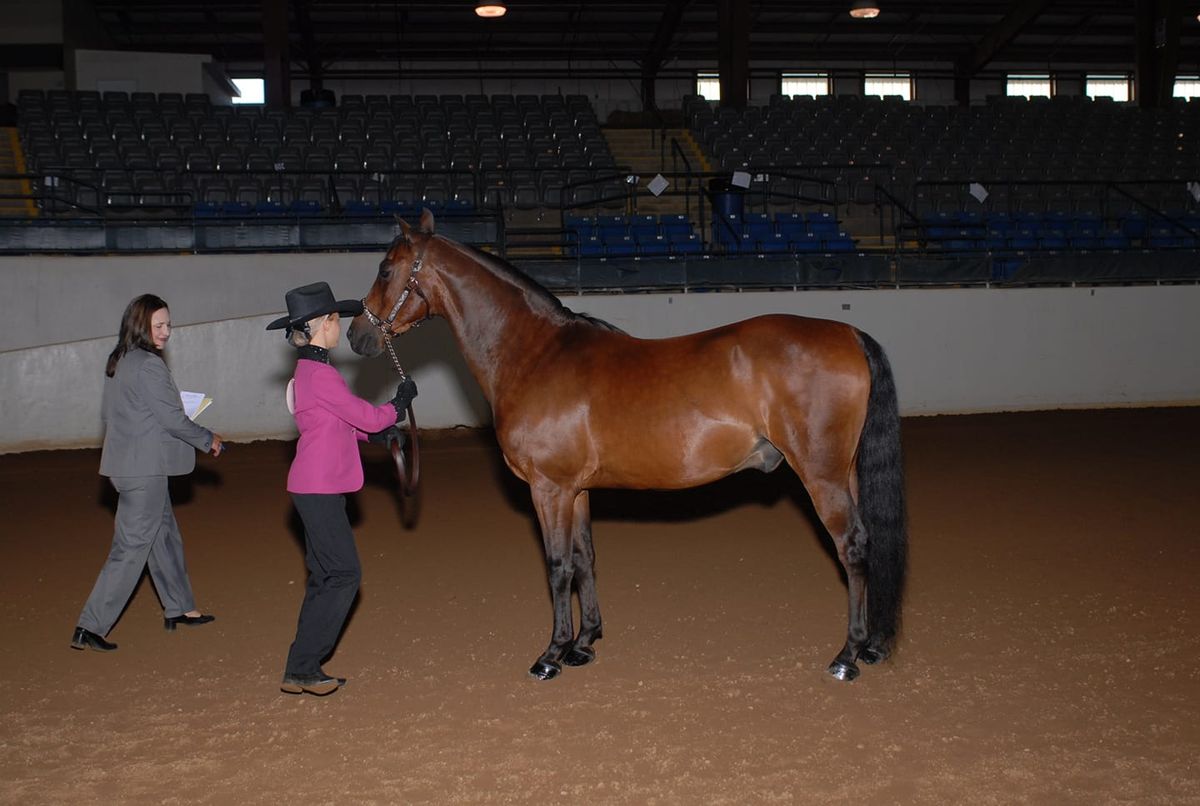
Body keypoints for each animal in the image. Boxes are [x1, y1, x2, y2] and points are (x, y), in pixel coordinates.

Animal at [350, 211, 907, 681]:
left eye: (385, 269)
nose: (357, 336)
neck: (534, 353)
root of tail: (849, 333)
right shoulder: (575, 491)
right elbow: (585, 559)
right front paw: (584, 644)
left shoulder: (548, 489)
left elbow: (558, 567)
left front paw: (551, 655)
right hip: (845, 473)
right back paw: (869, 646)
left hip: (822, 477)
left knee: (851, 547)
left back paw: (847, 656)